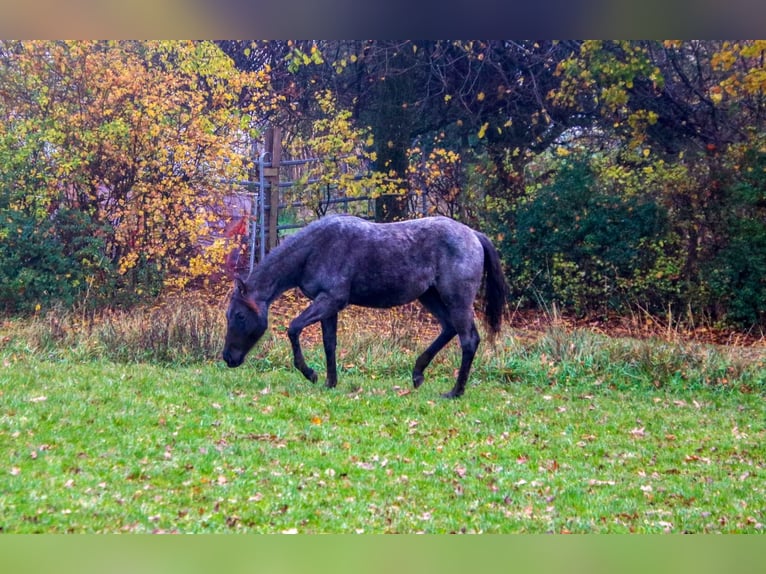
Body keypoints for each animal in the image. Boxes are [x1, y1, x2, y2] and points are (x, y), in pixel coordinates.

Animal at [222, 214, 509, 398]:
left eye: (239, 316)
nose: (228, 358)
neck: (315, 248)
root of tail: (474, 235)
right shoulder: (329, 306)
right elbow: (329, 343)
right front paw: (330, 382)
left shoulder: (331, 300)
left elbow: (293, 329)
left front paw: (310, 374)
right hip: (431, 296)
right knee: (449, 329)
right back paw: (418, 374)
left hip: (456, 300)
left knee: (468, 339)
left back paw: (455, 392)